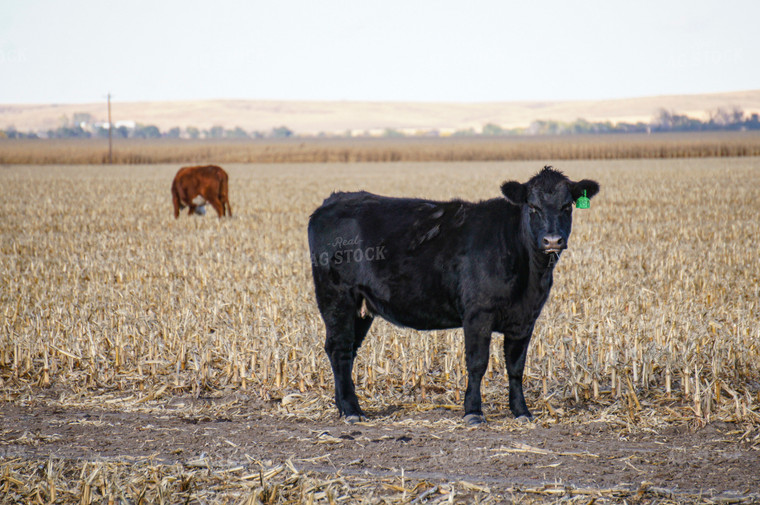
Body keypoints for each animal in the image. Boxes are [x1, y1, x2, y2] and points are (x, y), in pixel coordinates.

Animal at [308, 167, 600, 424]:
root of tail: (335, 199)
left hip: (361, 307)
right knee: (339, 349)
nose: (552, 240)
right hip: (336, 297)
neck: (529, 275)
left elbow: (516, 367)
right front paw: (473, 412)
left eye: (567, 206)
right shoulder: (477, 313)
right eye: (533, 207)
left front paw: (521, 411)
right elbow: (477, 363)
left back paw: (346, 407)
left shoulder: (525, 318)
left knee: (346, 351)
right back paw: (351, 411)